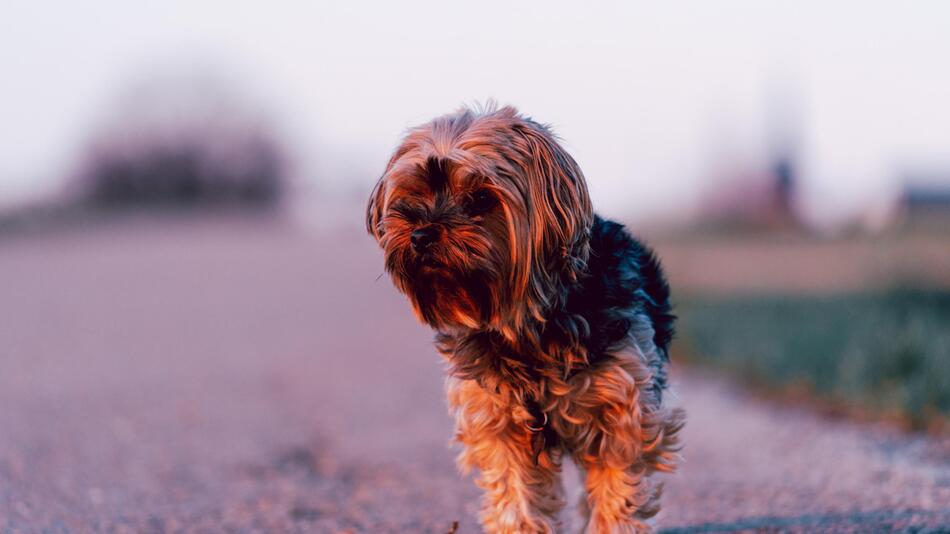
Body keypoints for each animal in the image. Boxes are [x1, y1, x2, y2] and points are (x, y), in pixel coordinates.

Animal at [364, 105, 684, 534]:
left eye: (482, 197)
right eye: (415, 193)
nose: (421, 235)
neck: (526, 326)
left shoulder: (622, 409)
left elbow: (618, 490)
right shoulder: (498, 420)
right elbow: (516, 494)